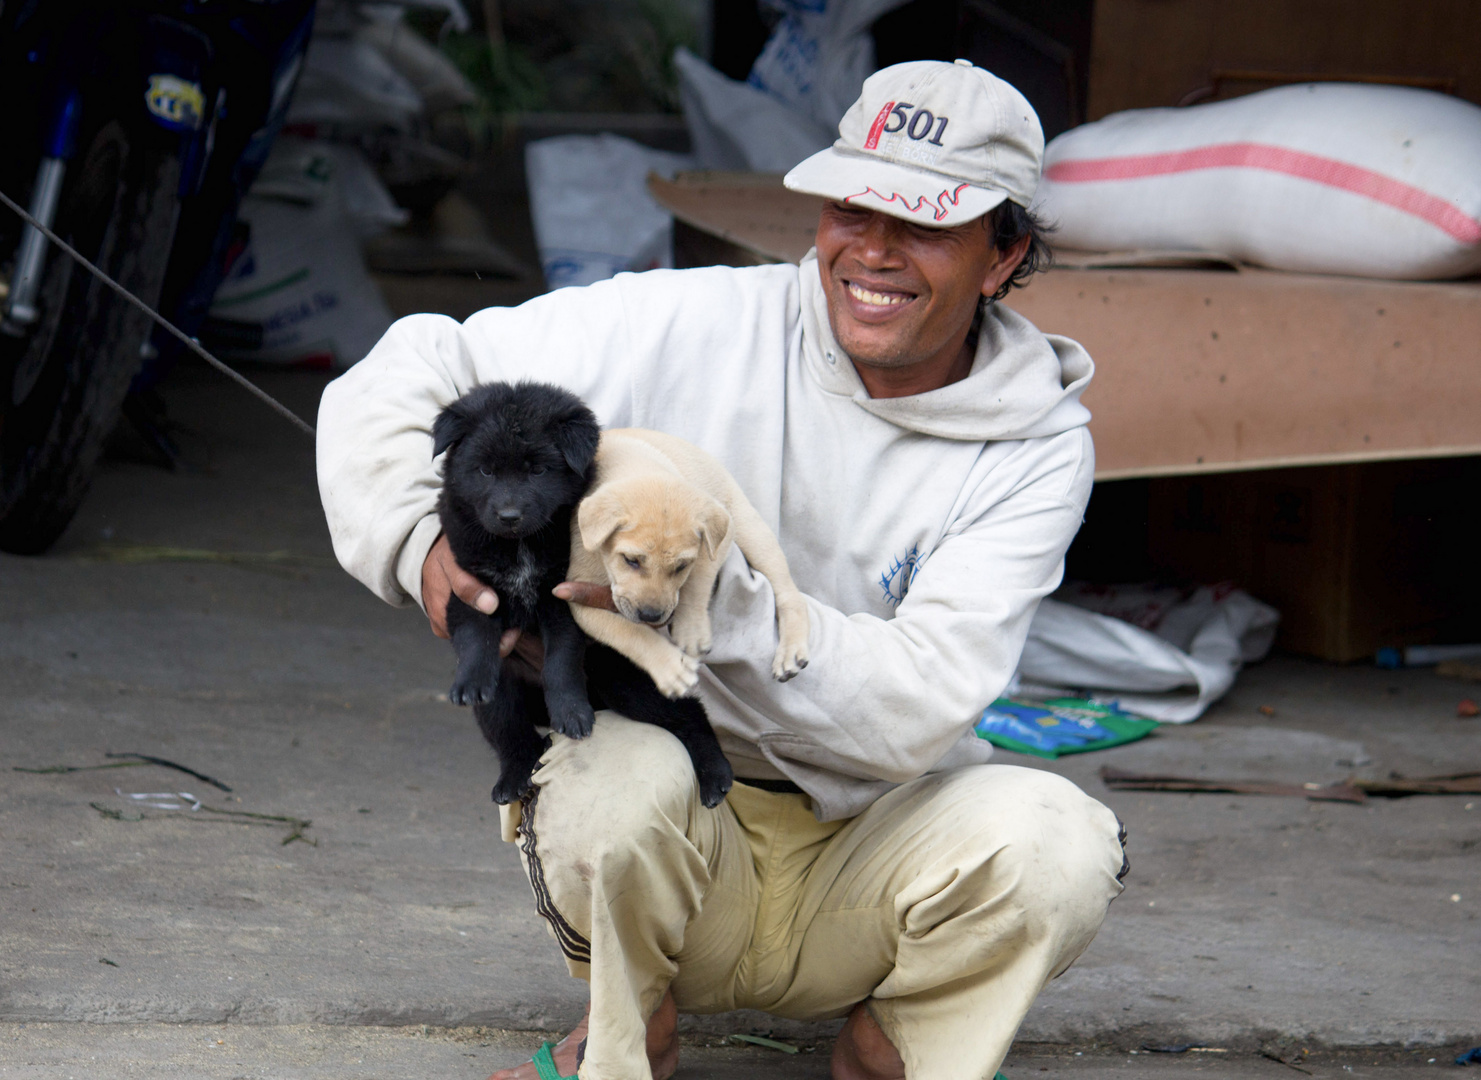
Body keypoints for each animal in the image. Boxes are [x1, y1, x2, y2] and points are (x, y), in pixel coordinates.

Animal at [435, 382, 737, 805]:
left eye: (538, 470)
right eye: (485, 471)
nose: (509, 517)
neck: (520, 546)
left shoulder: (563, 597)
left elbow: (561, 658)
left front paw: (571, 711)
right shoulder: (469, 588)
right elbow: (476, 636)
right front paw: (472, 681)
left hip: (619, 677)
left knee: (688, 712)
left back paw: (716, 774)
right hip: (512, 685)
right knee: (511, 730)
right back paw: (515, 775)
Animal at [568, 426, 811, 696]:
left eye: (681, 566)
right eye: (631, 560)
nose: (651, 615)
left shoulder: (720, 536)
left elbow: (699, 575)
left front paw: (691, 630)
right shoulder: (577, 599)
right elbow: (627, 631)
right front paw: (672, 668)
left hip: (753, 532)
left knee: (790, 594)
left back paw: (791, 651)